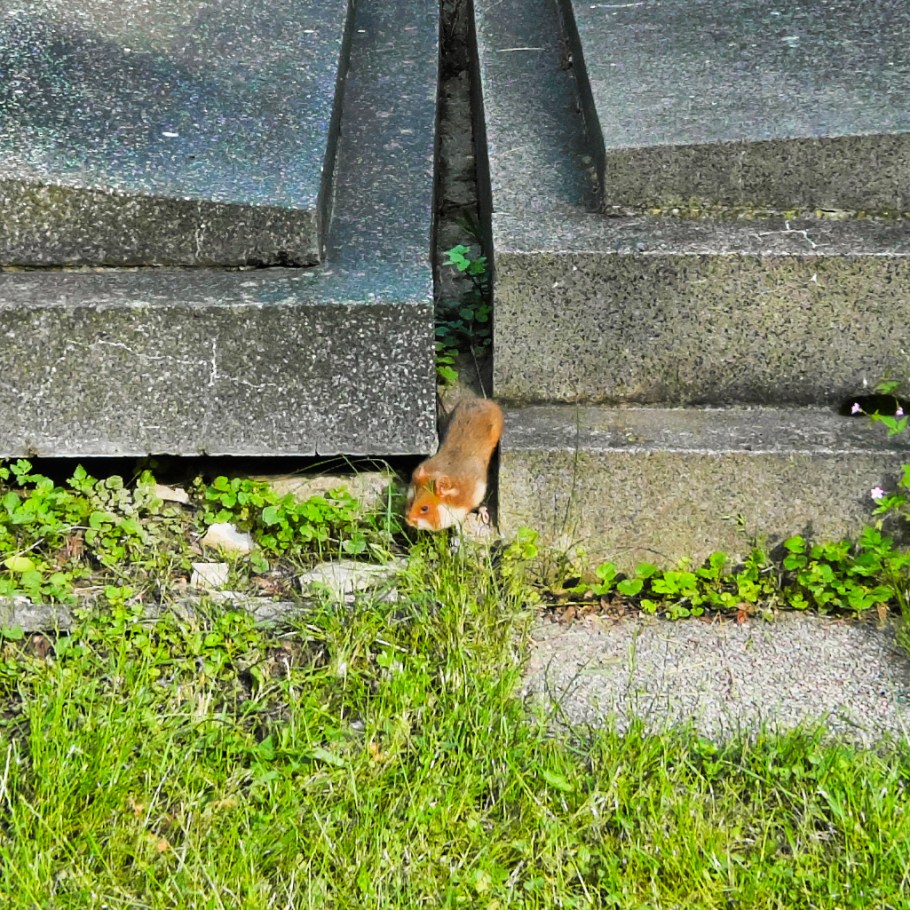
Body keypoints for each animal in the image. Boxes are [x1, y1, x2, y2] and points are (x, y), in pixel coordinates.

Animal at [405, 398, 504, 531]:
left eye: (424, 508)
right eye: (411, 501)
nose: (408, 521)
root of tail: (482, 400)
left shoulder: (478, 491)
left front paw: (483, 517)